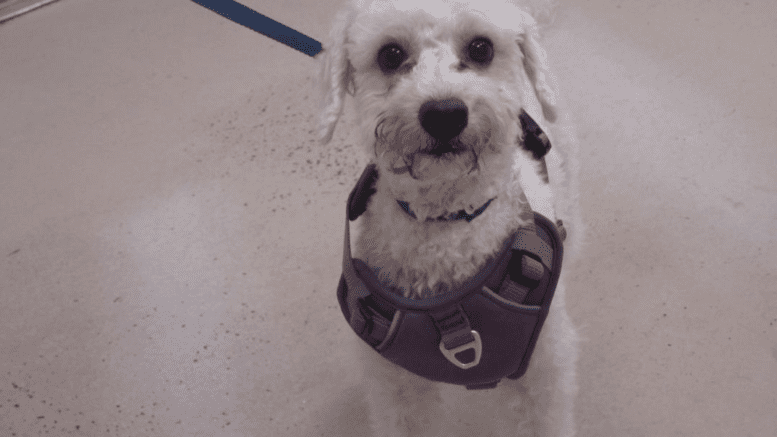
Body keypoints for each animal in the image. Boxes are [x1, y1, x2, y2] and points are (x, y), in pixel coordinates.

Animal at [318, 1, 580, 434]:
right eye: (391, 54)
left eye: (481, 48)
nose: (444, 113)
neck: (448, 224)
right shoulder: (396, 386)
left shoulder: (544, 373)